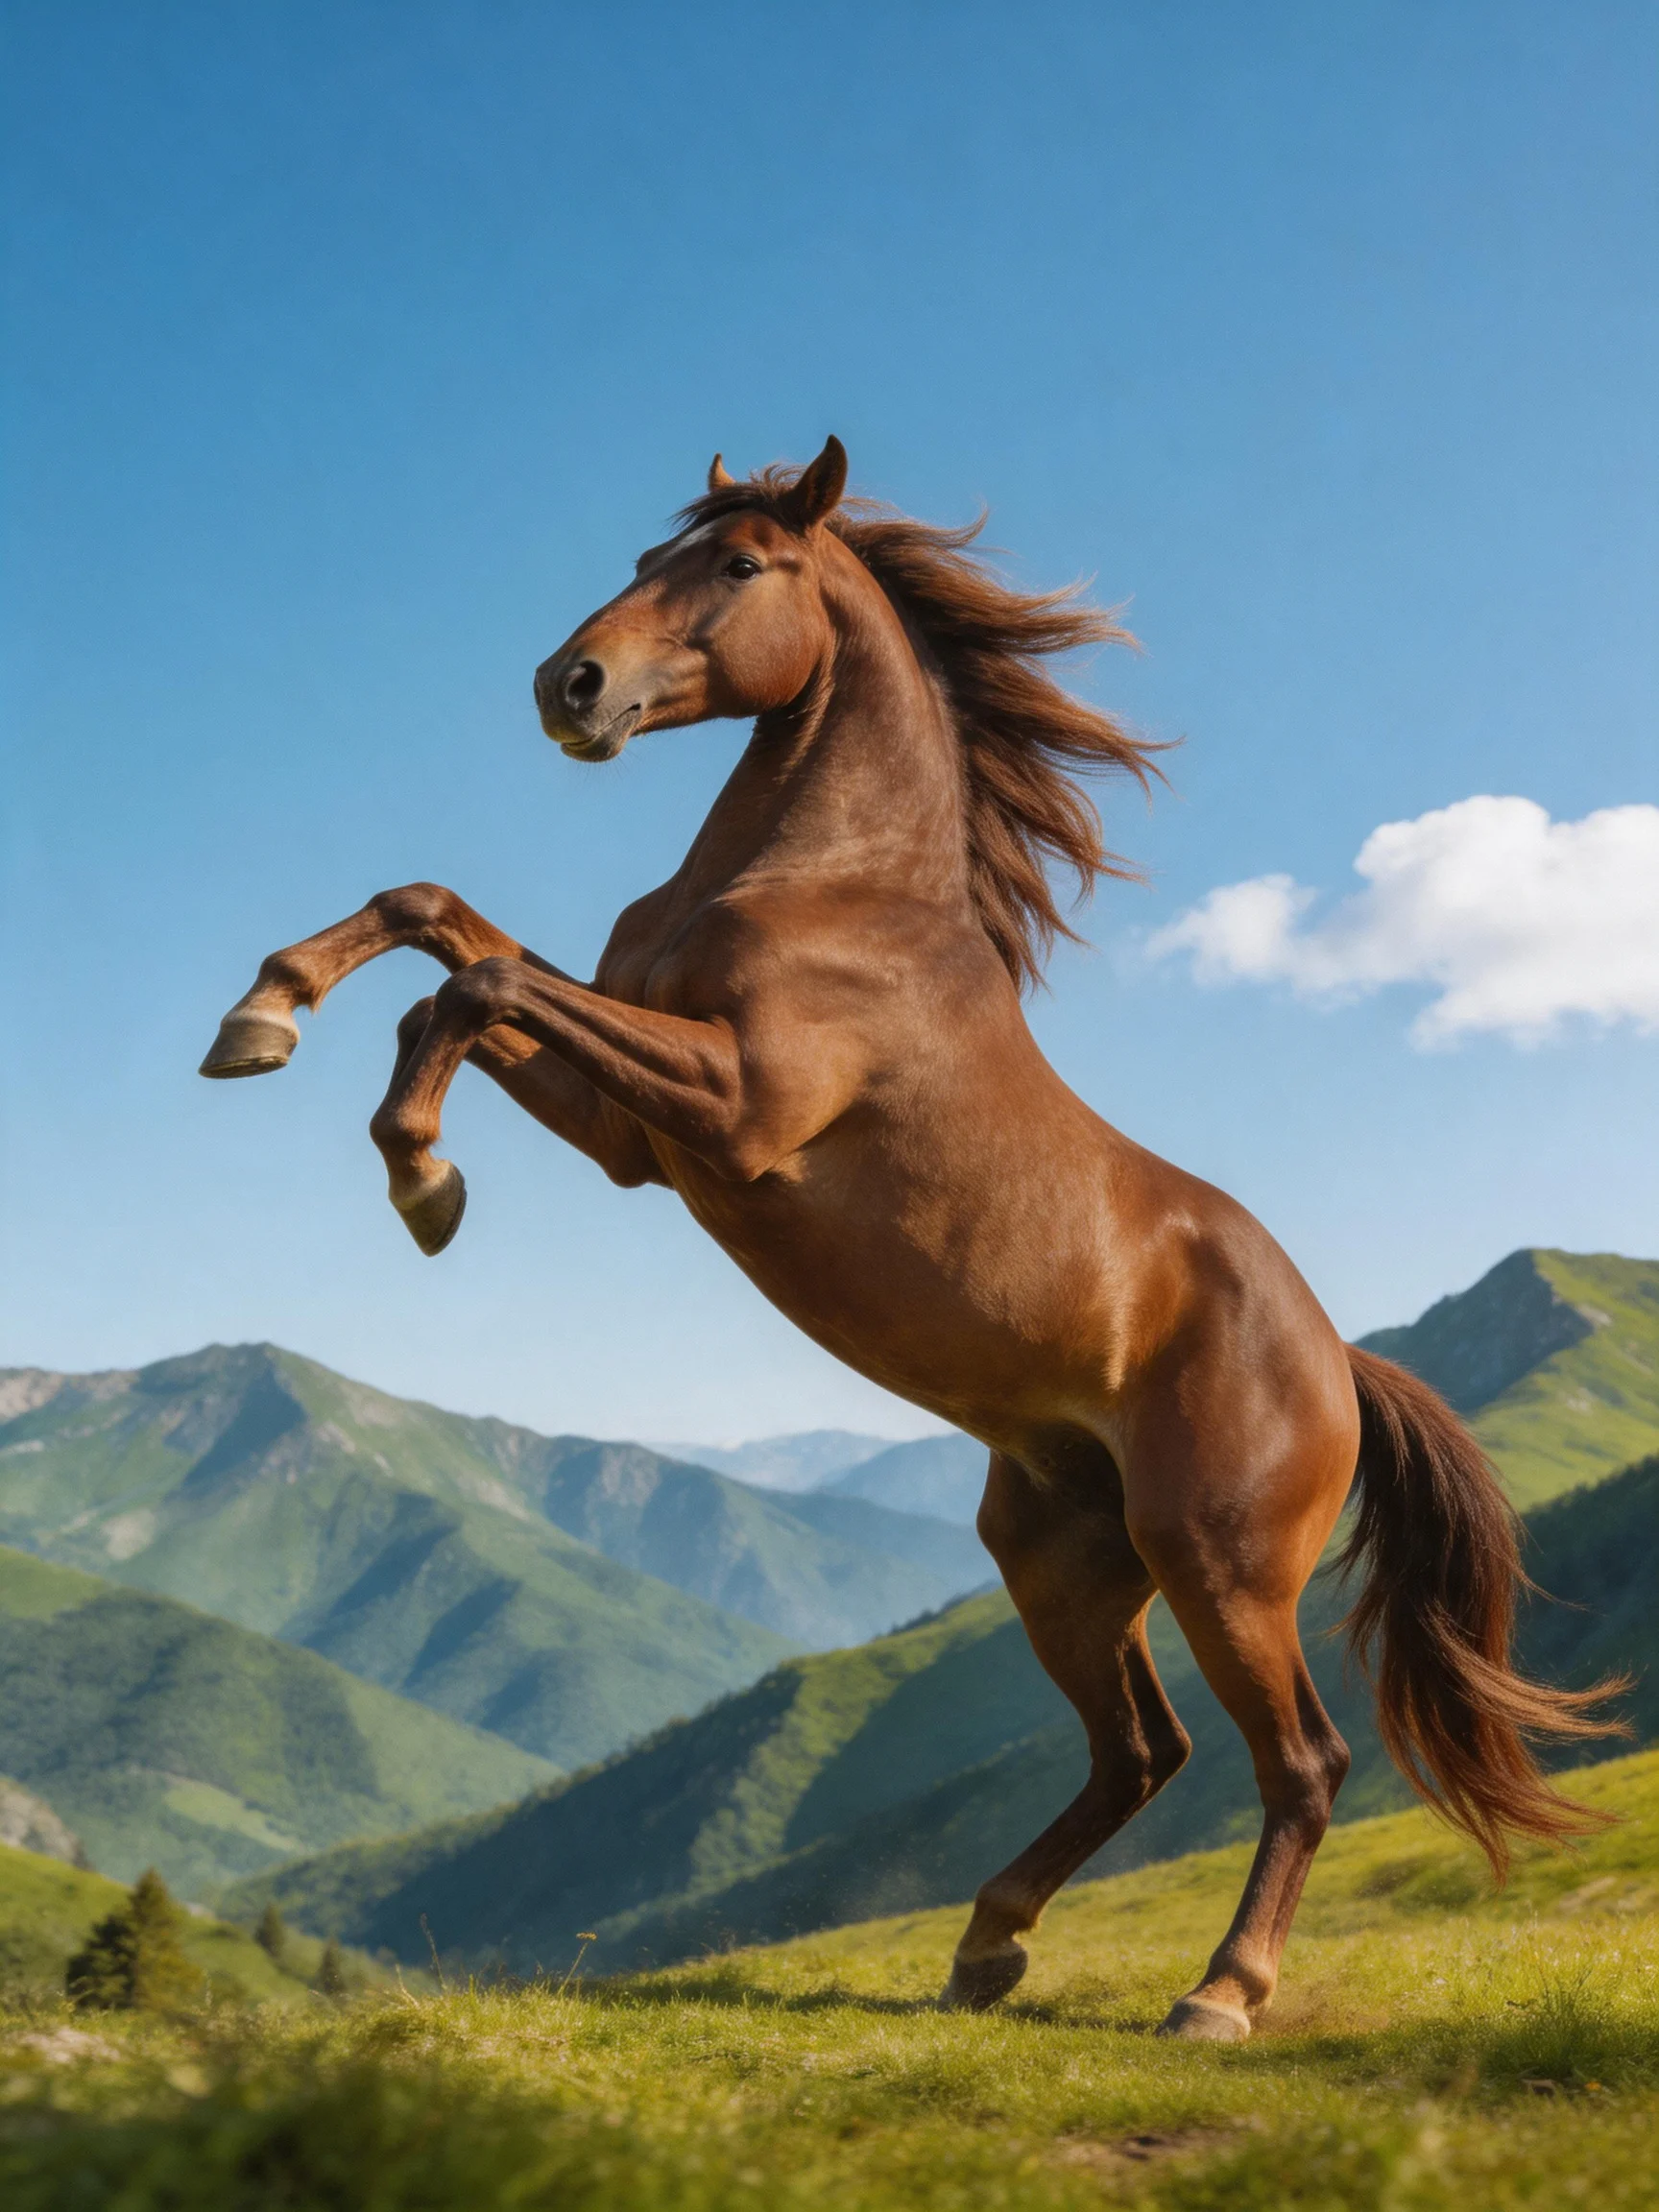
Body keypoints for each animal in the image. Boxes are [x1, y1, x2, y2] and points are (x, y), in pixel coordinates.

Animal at [200, 439, 1618, 2039]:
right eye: (646, 557)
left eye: (742, 566)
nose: (571, 685)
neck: (829, 886)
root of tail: (1340, 1364)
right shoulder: (635, 1135)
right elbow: (435, 919)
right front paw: (264, 1017)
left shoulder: (732, 1108)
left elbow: (481, 981)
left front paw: (420, 1178)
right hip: (1063, 1558)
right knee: (1144, 1752)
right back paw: (987, 1945)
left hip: (1223, 1563)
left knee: (1298, 1762)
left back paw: (1218, 1995)